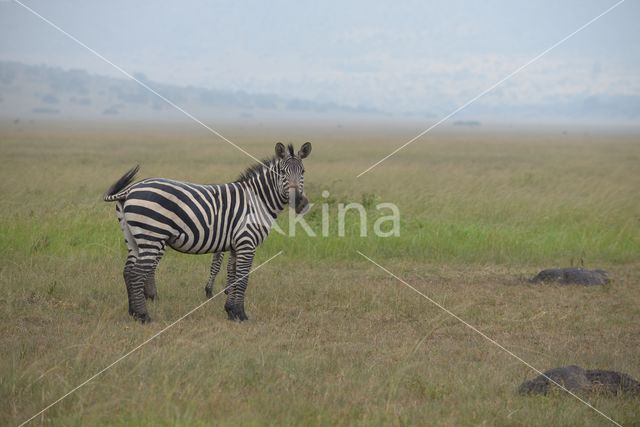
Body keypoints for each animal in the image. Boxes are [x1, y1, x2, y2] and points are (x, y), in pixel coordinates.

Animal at [104, 142, 312, 322]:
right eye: (282, 172)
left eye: (303, 172)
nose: (299, 202)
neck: (257, 200)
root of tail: (130, 190)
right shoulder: (247, 242)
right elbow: (242, 279)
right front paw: (241, 314)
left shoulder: (236, 245)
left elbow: (232, 276)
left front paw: (230, 311)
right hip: (152, 237)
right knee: (137, 274)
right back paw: (143, 316)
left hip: (133, 238)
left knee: (128, 272)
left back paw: (132, 312)